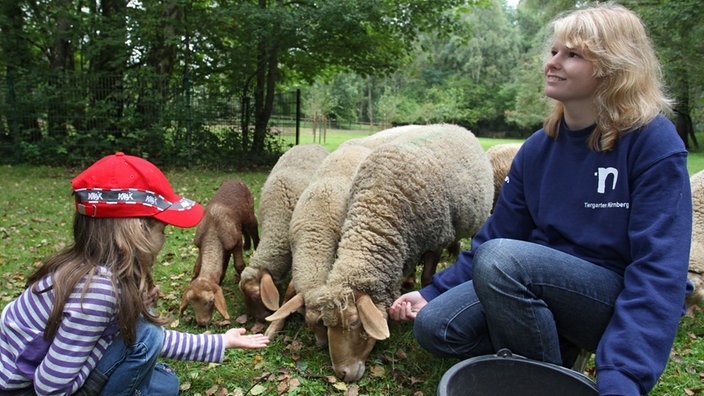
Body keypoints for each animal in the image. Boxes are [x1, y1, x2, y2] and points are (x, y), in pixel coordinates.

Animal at [180, 179, 260, 324]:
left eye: (211, 301)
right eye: (191, 303)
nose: (202, 323)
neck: (213, 231)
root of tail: (235, 179)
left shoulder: (235, 242)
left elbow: (239, 265)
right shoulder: (203, 245)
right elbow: (197, 268)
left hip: (250, 212)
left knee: (253, 229)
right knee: (244, 229)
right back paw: (247, 245)